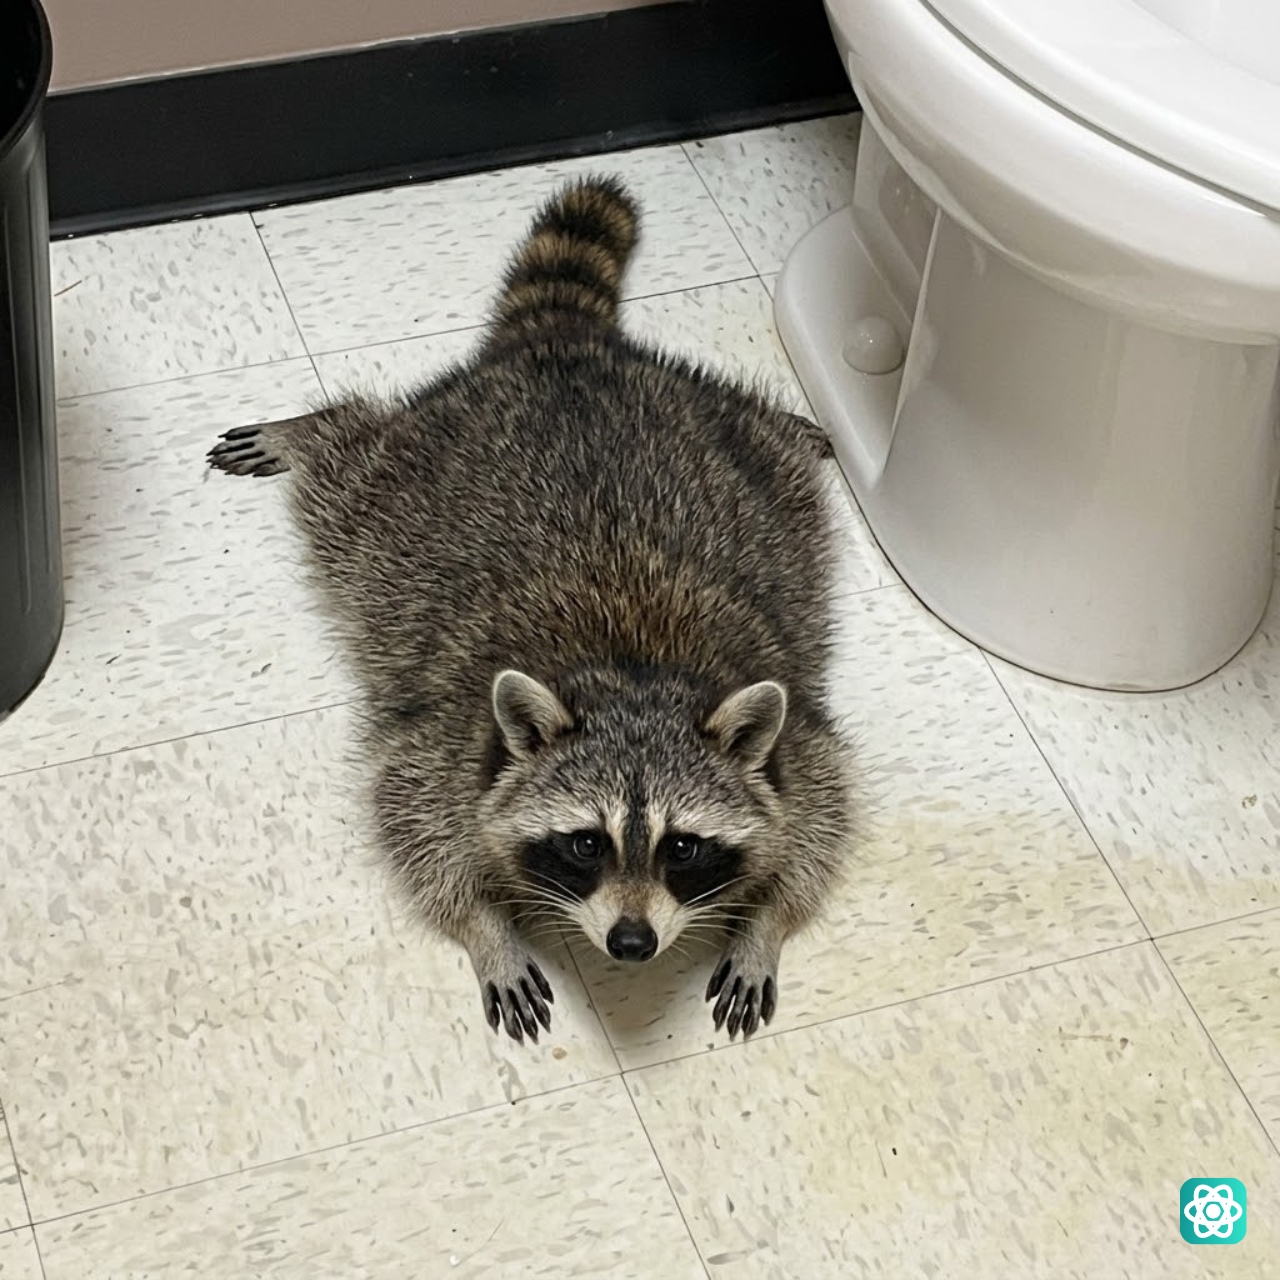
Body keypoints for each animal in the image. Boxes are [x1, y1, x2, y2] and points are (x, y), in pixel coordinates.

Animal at [209, 177, 858, 1044]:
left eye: (683, 849)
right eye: (585, 843)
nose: (631, 943)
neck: (633, 673)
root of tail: (563, 349)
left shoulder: (803, 751)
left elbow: (819, 826)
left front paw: (764, 926)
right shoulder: (446, 748)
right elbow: (420, 836)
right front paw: (487, 930)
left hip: (739, 453)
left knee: (759, 427)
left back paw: (783, 419)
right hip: (402, 481)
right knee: (353, 463)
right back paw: (315, 429)